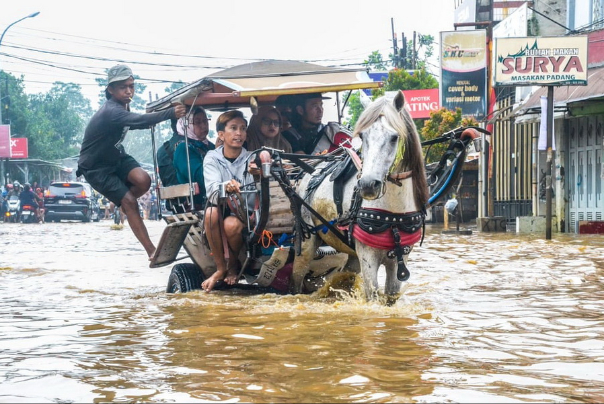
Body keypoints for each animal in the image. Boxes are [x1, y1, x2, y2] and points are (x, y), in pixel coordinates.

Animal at [290, 89, 428, 304]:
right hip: (306, 243)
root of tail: (311, 170)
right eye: (363, 136)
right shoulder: (368, 257)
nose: (368, 184)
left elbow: (391, 294)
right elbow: (373, 295)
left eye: (394, 137)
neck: (393, 213)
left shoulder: (400, 258)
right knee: (298, 277)